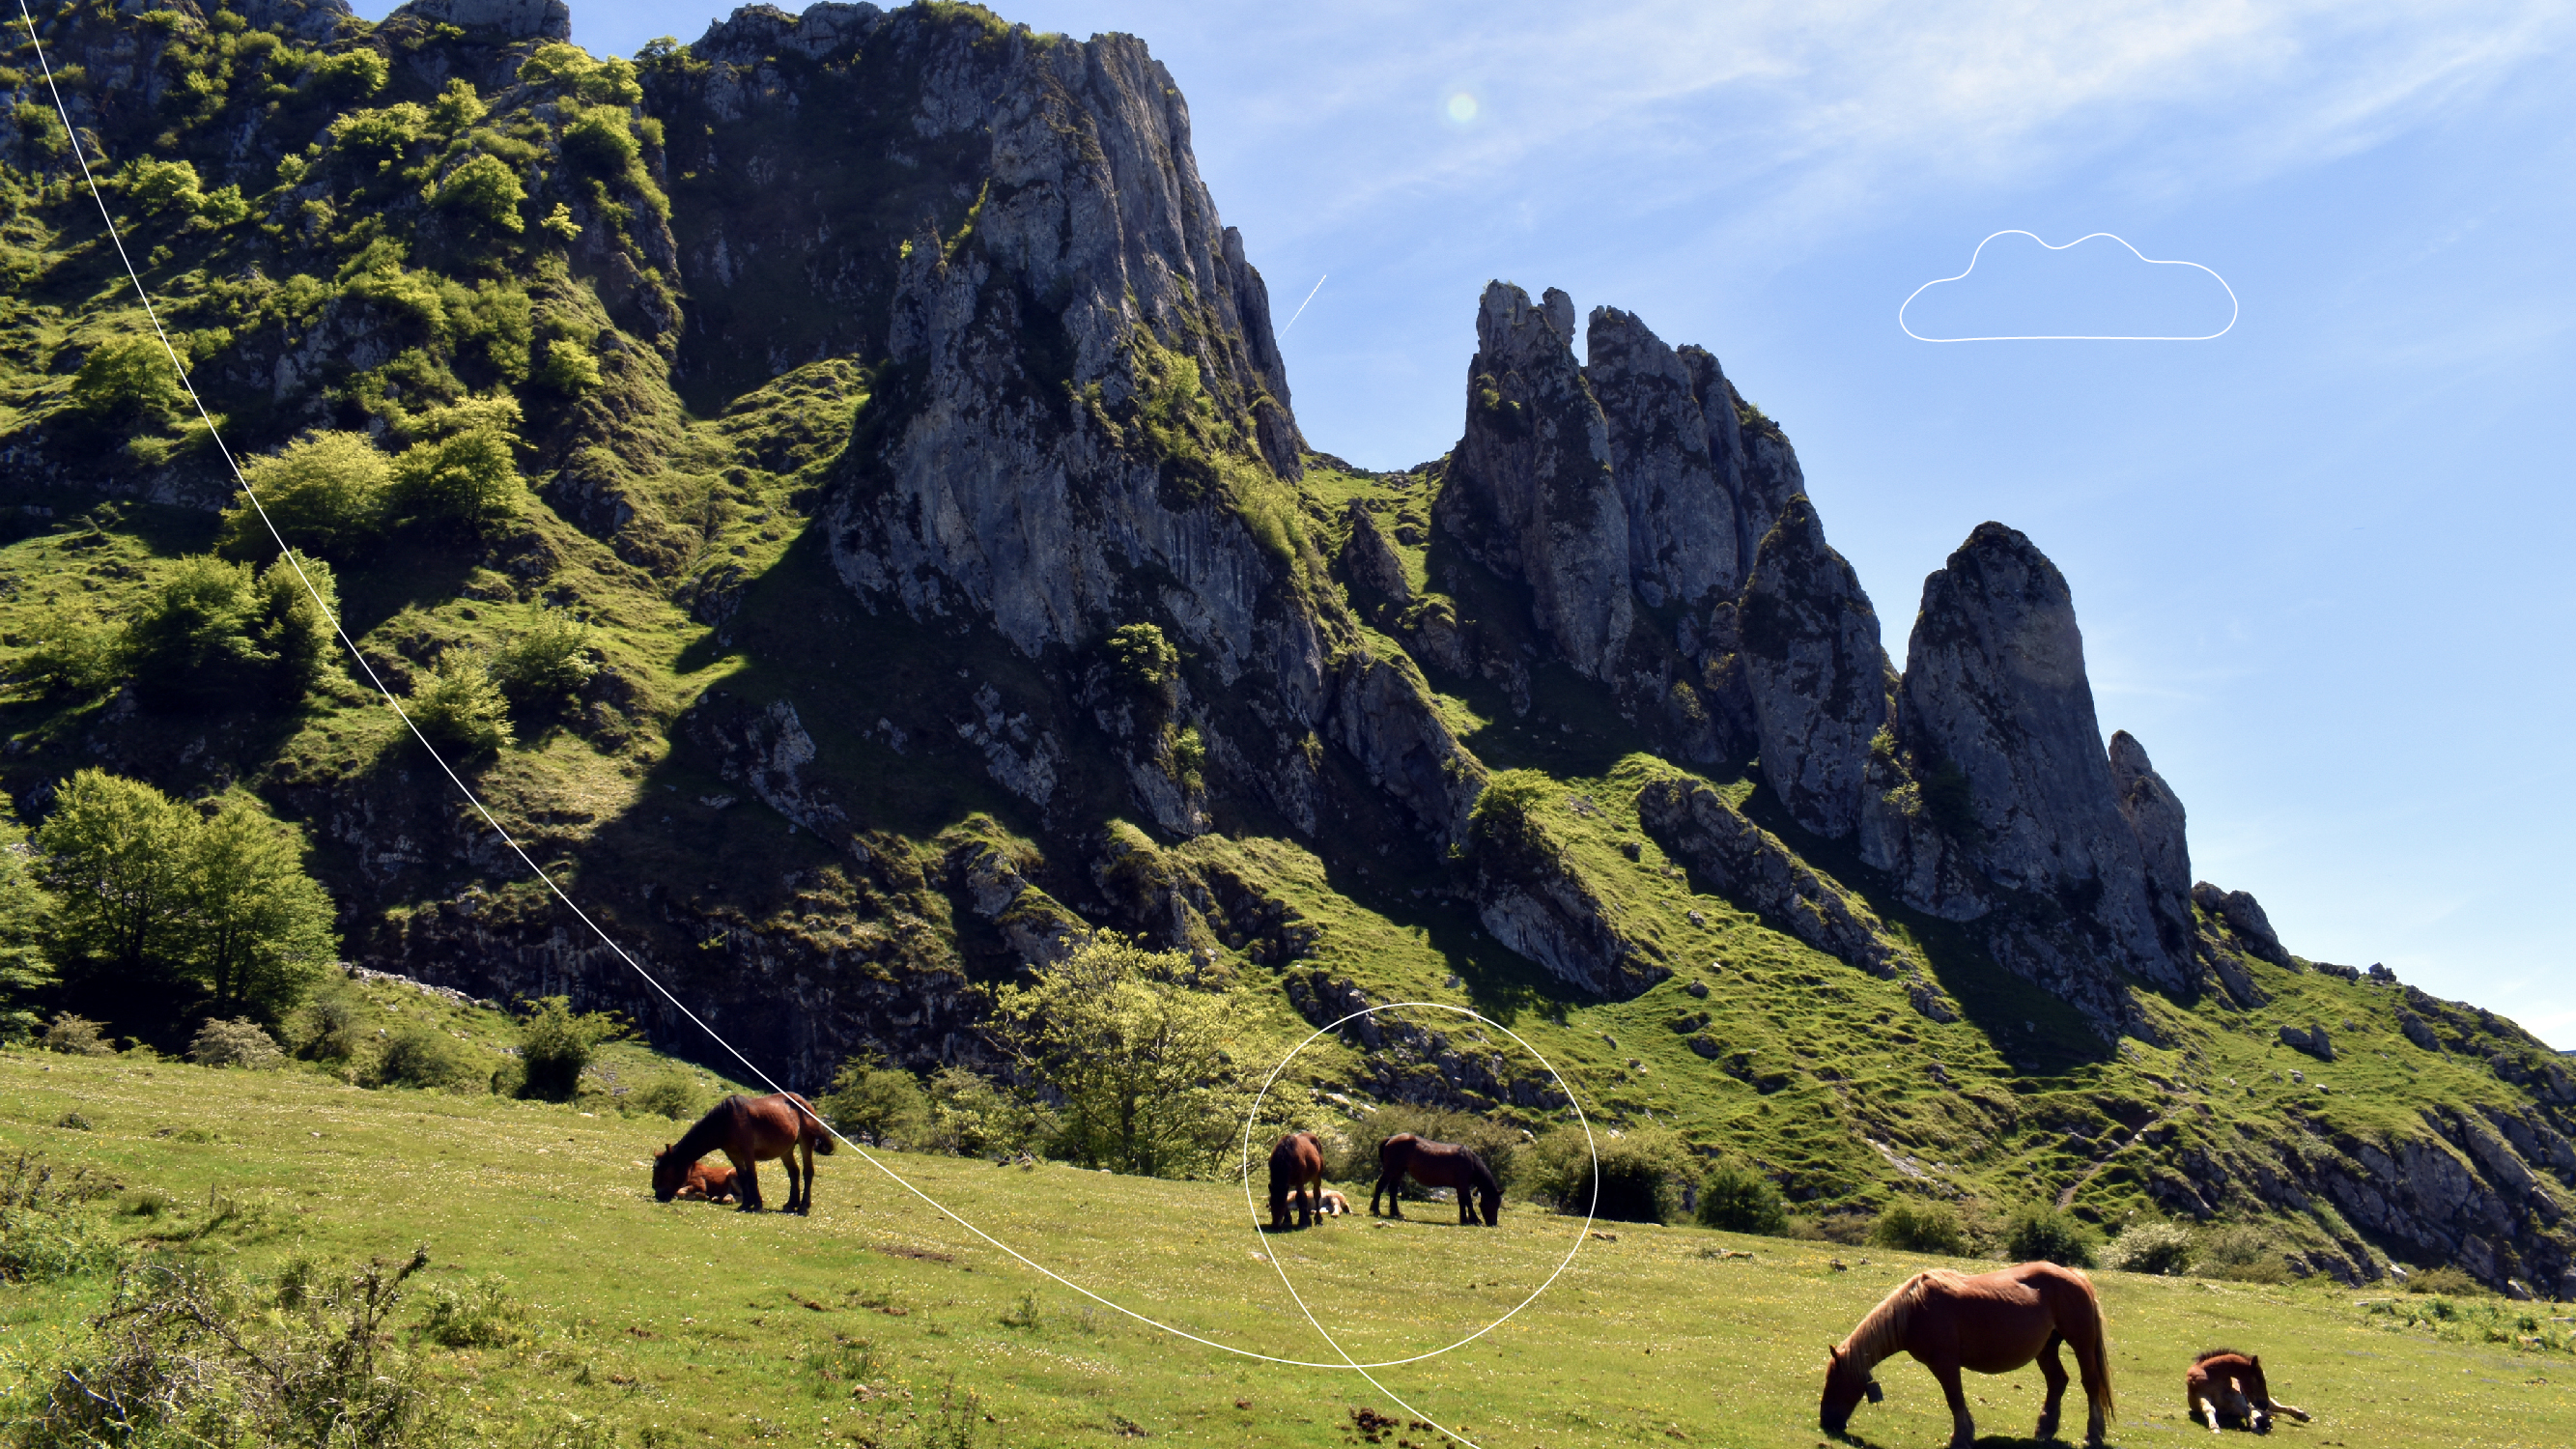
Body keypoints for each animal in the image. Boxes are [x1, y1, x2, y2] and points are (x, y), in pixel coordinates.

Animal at [654, 1088, 835, 1211]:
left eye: (664, 1171)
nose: (658, 1195)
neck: (726, 1121)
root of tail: (806, 1104)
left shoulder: (747, 1151)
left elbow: (752, 1176)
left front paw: (757, 1205)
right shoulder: (733, 1154)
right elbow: (743, 1176)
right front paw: (746, 1204)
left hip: (806, 1143)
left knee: (807, 1172)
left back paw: (803, 1207)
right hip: (786, 1150)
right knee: (794, 1173)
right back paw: (791, 1204)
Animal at [1360, 1129, 1504, 1216]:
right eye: (1494, 1204)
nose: (1493, 1223)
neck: (1470, 1161)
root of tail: (1391, 1138)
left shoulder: (1460, 1186)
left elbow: (1462, 1201)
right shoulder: (1463, 1185)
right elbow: (1468, 1201)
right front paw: (1475, 1219)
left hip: (1399, 1171)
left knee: (1393, 1190)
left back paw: (1395, 1212)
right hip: (1391, 1170)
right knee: (1380, 1186)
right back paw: (1376, 1209)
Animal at [1813, 1253, 2111, 1443]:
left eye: (1835, 1380)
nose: (1826, 1421)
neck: (1915, 1310)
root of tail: (2072, 1275)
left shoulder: (1945, 1363)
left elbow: (1954, 1398)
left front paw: (1961, 1436)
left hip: (2082, 1345)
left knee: (2090, 1383)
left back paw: (2094, 1433)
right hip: (2047, 1349)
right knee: (2057, 1382)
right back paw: (2045, 1429)